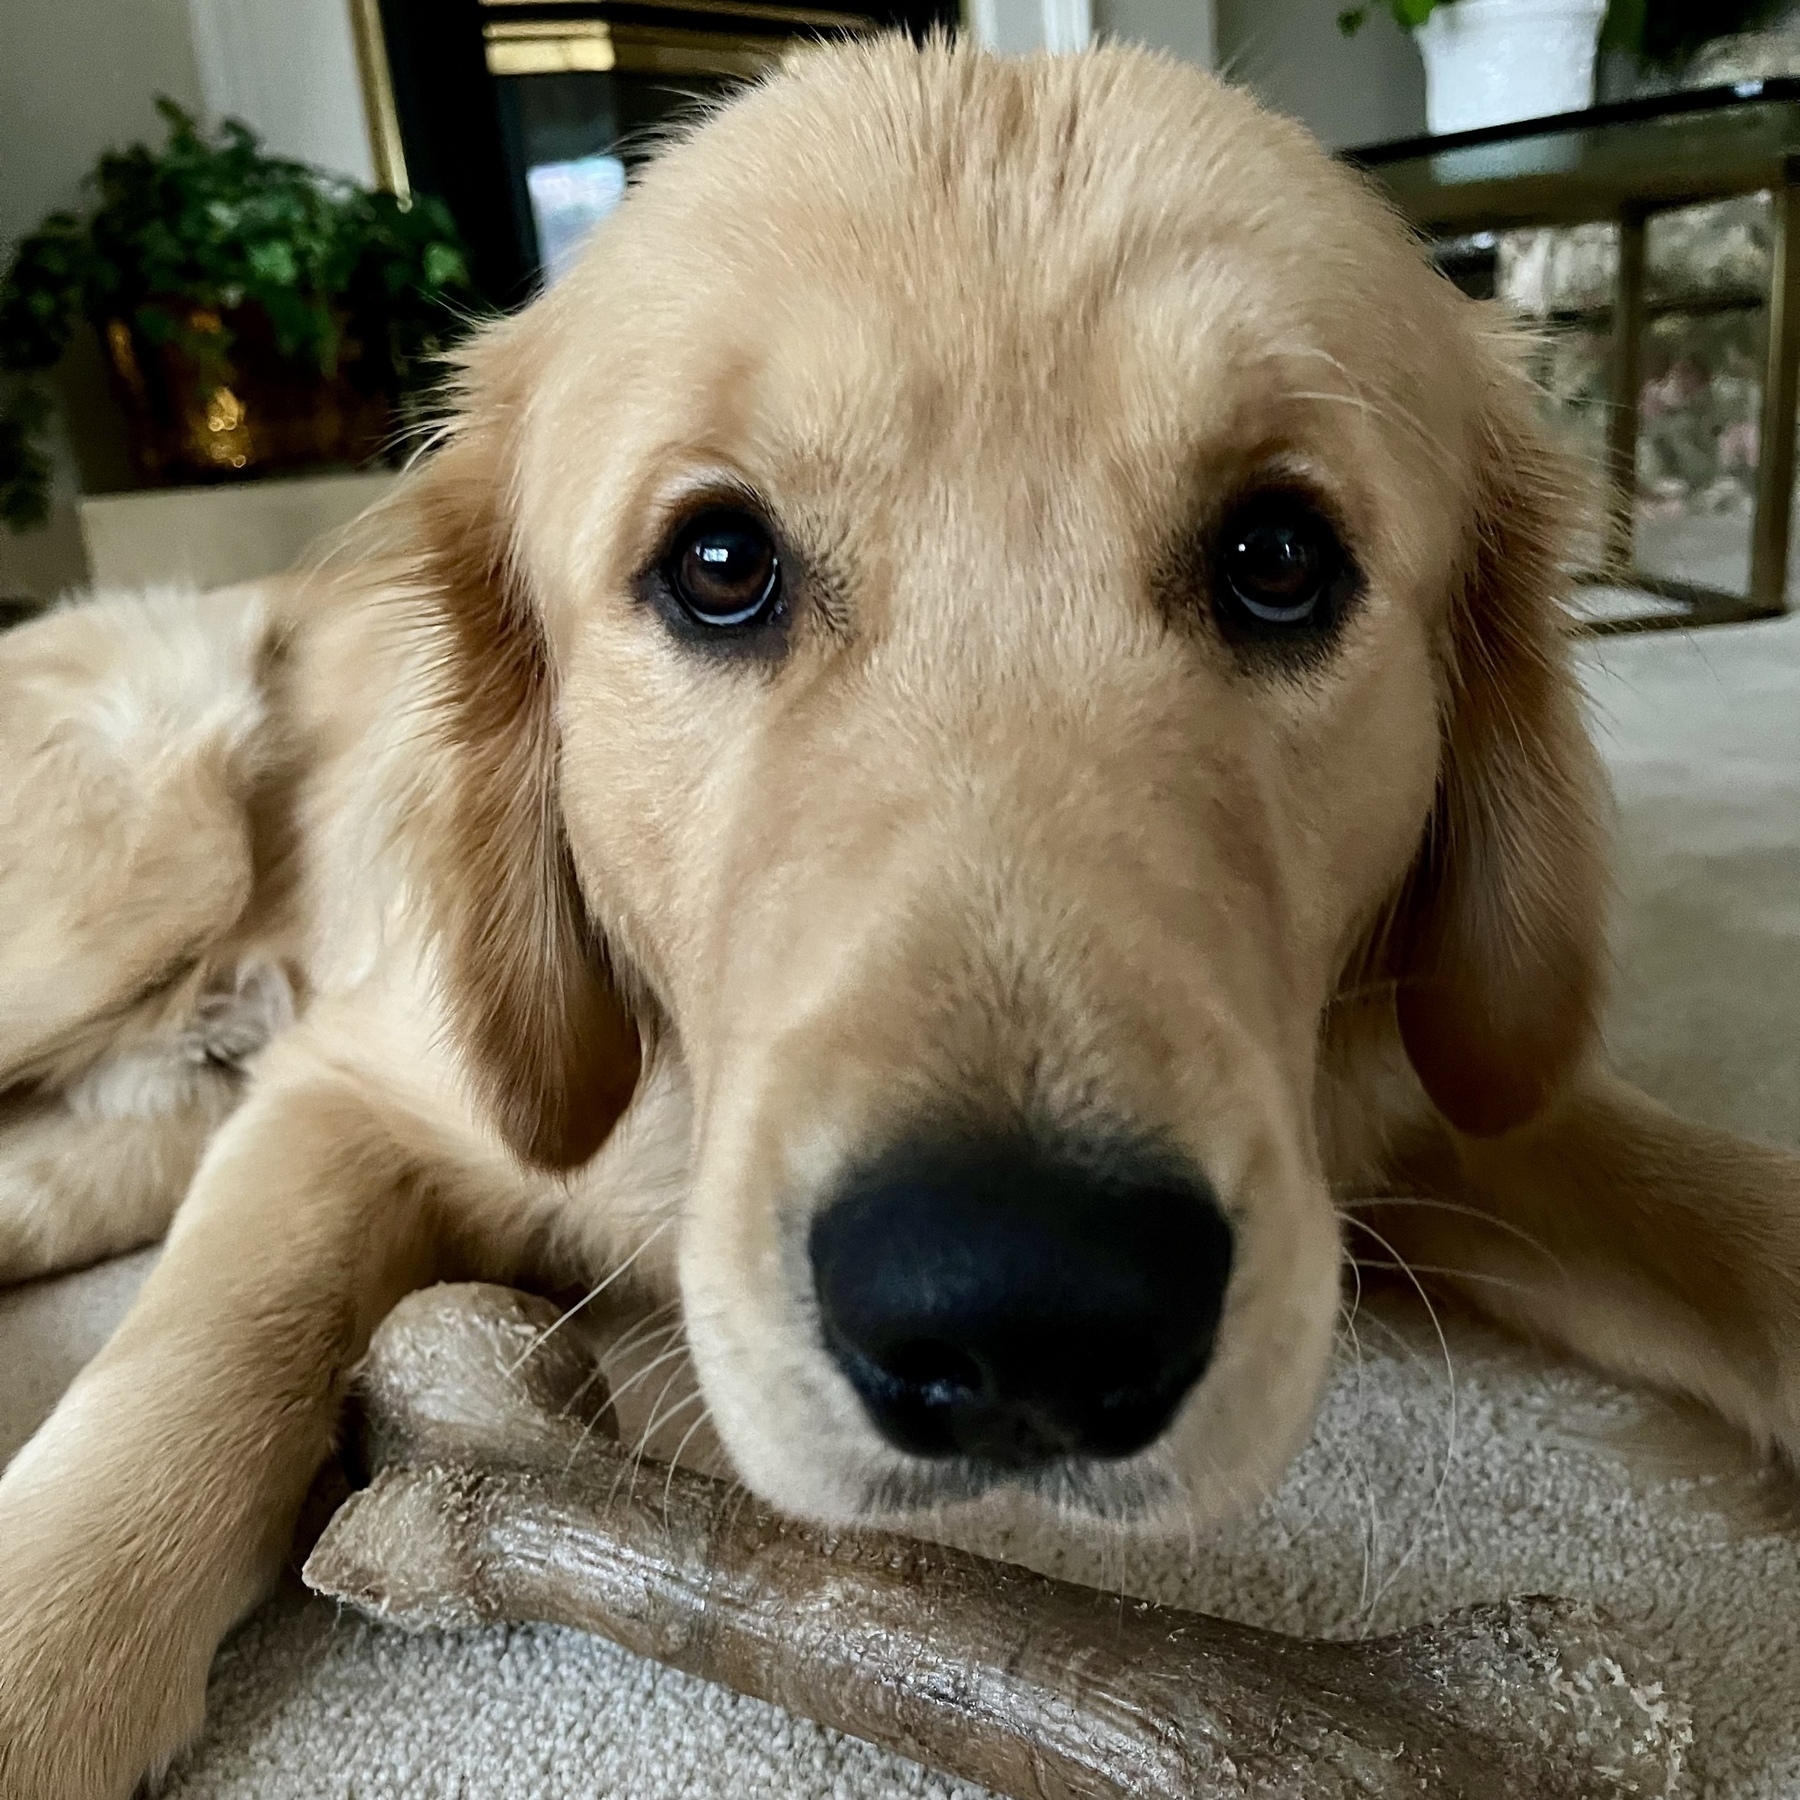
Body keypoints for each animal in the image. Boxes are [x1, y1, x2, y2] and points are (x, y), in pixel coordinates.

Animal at [3, 31, 1800, 1800]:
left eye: (1281, 556)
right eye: (720, 563)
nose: (1023, 1316)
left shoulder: (1414, 1090)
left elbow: (1724, 1208)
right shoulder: (356, 1082)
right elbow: (201, 1356)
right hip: (155, 837)